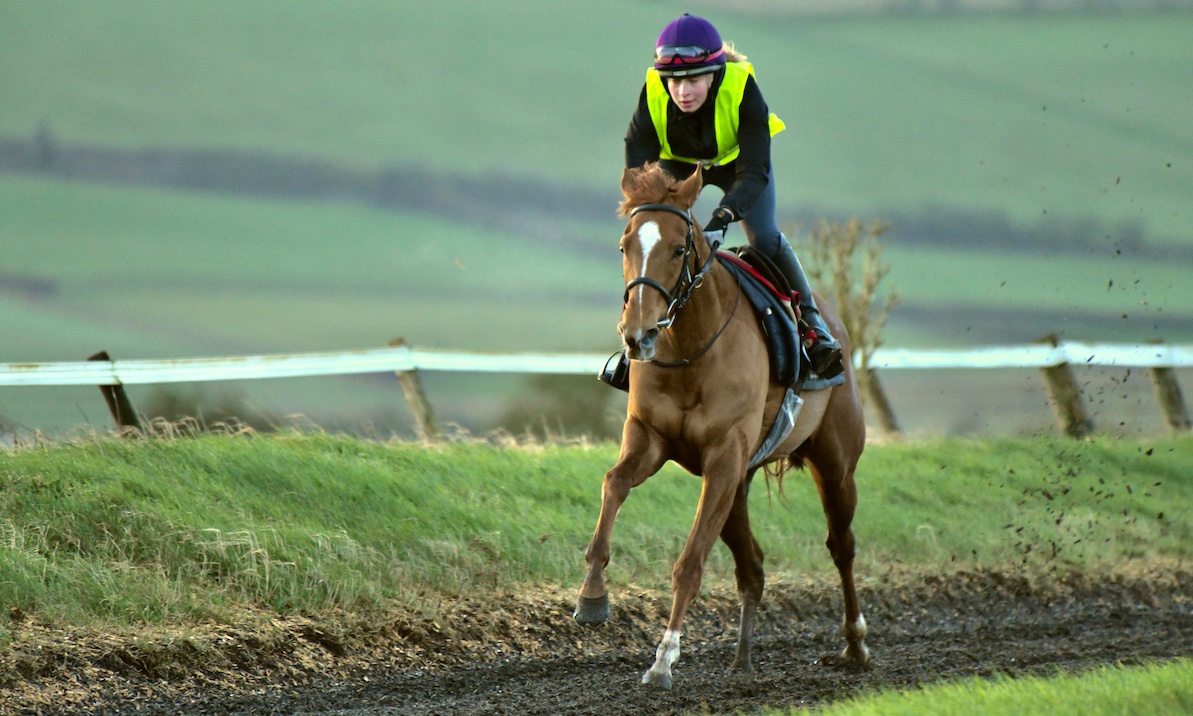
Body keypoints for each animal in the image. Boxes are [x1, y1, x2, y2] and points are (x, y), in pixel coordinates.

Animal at [572, 161, 873, 687]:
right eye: (624, 246)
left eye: (678, 249)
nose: (637, 334)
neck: (691, 349)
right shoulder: (651, 440)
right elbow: (614, 483)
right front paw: (592, 594)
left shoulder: (724, 457)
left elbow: (691, 562)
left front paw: (664, 657)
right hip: (740, 486)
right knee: (753, 566)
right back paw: (743, 659)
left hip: (833, 465)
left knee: (842, 545)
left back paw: (854, 641)